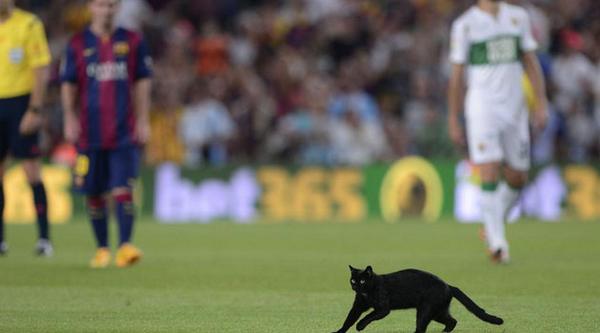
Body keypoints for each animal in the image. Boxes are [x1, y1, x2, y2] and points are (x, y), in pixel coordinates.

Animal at [330, 264, 504, 332]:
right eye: (353, 280)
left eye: (362, 281)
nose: (355, 287)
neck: (366, 292)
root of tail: (448, 285)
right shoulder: (357, 307)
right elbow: (348, 320)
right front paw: (339, 332)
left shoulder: (383, 309)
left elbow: (368, 316)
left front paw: (360, 326)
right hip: (437, 312)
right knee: (452, 321)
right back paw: (443, 332)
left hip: (426, 311)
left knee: (422, 328)